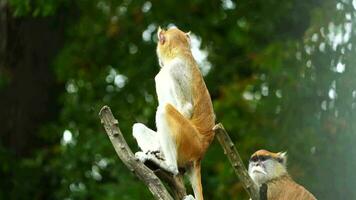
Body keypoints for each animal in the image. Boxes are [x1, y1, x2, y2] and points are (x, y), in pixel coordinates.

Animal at [131, 27, 214, 200]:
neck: (181, 52)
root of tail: (201, 151)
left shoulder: (174, 70)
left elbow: (186, 108)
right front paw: (156, 151)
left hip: (190, 141)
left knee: (164, 110)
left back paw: (170, 166)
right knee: (138, 127)